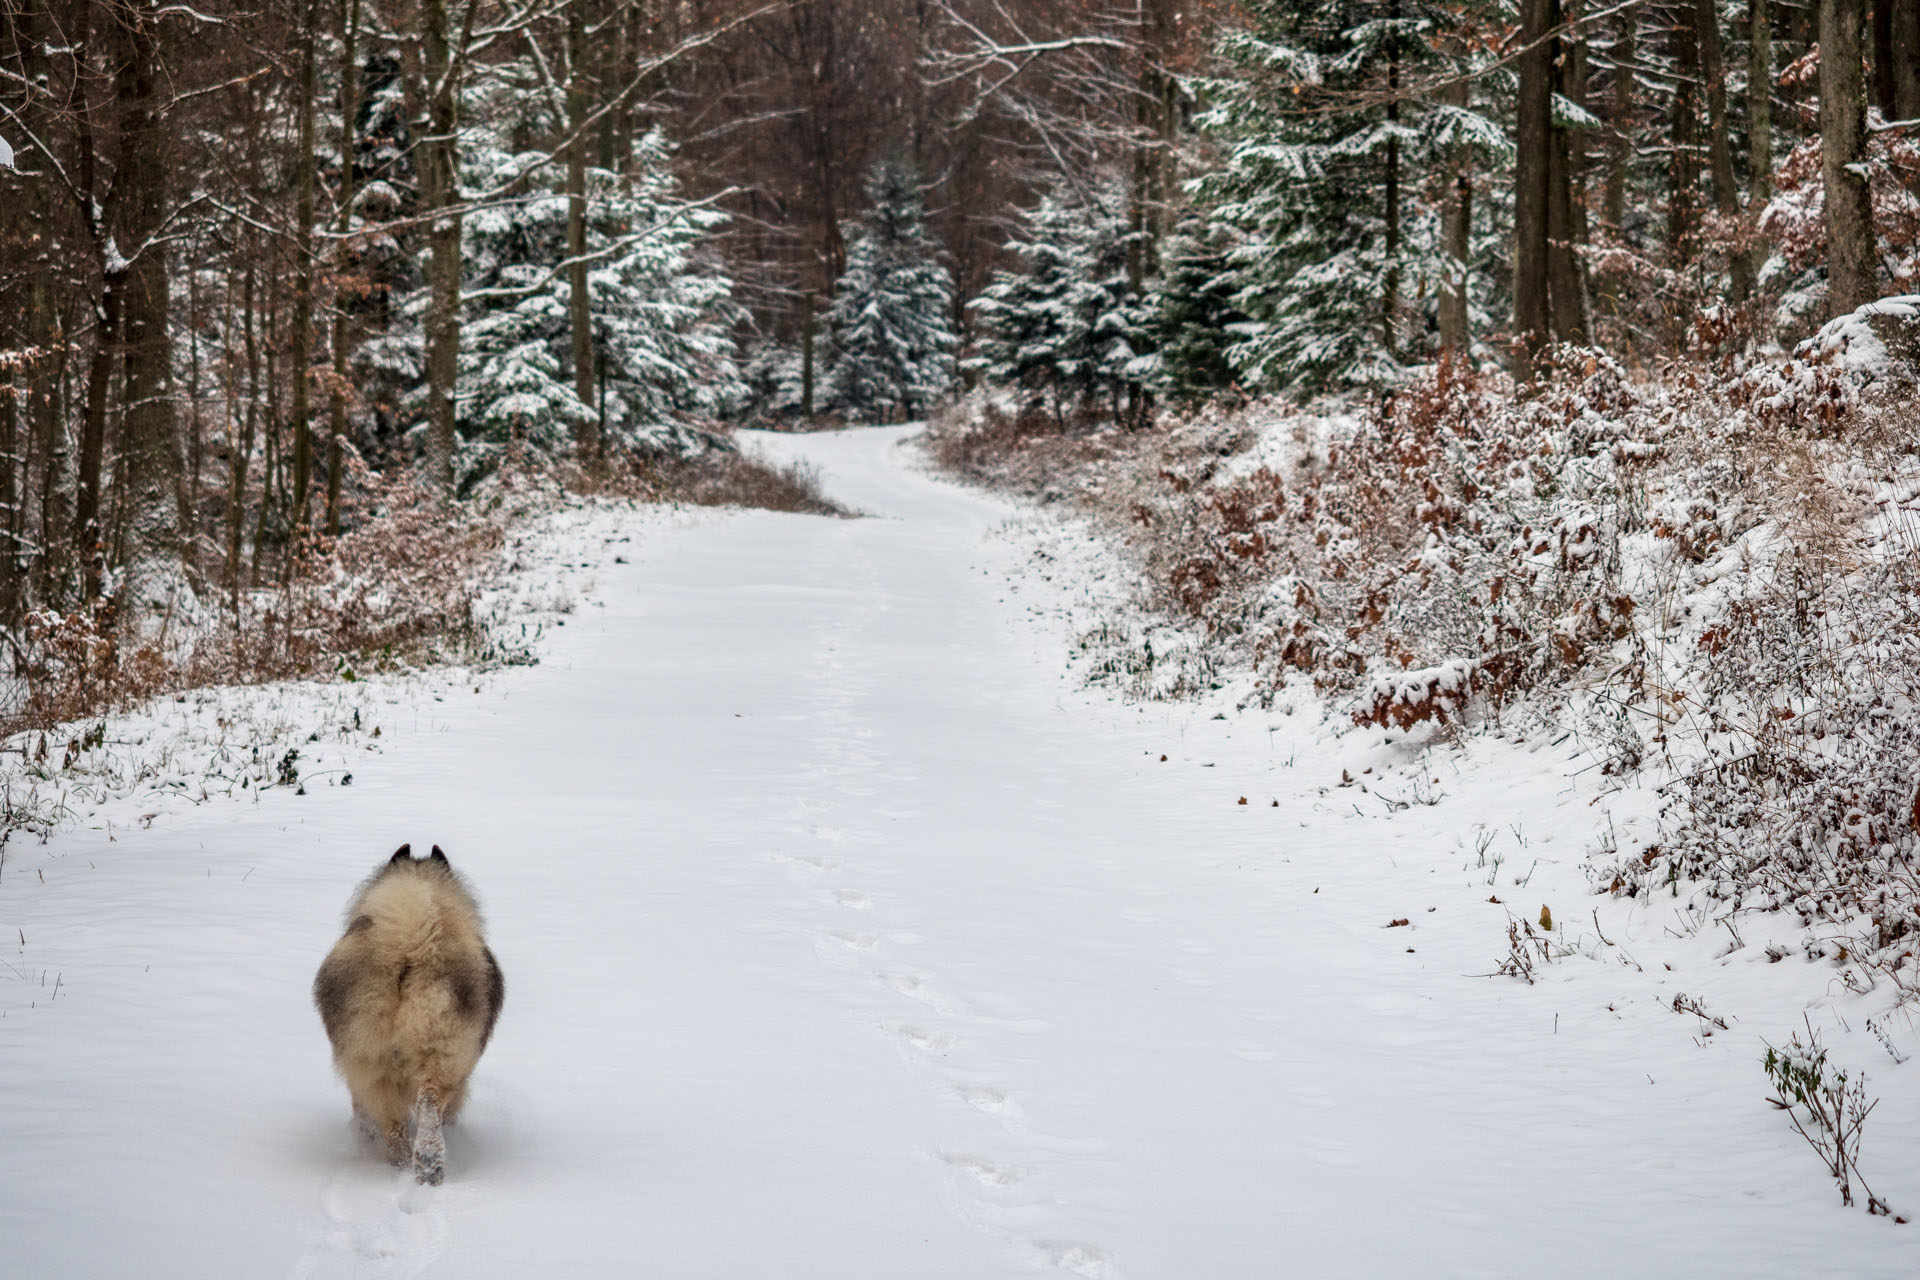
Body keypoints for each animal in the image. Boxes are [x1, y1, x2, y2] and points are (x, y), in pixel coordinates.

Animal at [311, 844, 503, 1189]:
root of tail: (409, 946)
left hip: (372, 1059)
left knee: (395, 1123)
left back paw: (408, 1164)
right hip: (437, 1054)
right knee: (426, 1107)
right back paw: (424, 1166)